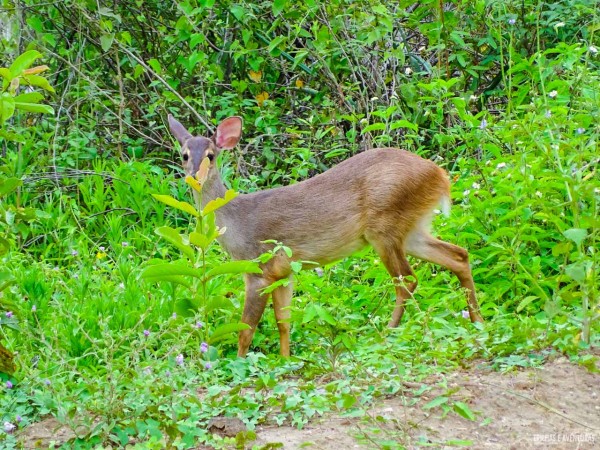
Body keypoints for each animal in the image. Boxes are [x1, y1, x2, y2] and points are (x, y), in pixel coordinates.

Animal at [168, 114, 482, 356]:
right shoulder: (283, 273)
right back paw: (477, 321)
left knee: (408, 279)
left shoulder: (258, 269)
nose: (194, 177)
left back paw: (386, 334)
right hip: (412, 229)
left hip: (385, 226)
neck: (236, 222)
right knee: (458, 255)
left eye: (211, 156)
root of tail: (440, 176)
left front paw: (241, 364)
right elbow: (284, 321)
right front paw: (285, 360)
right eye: (184, 155)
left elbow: (246, 330)